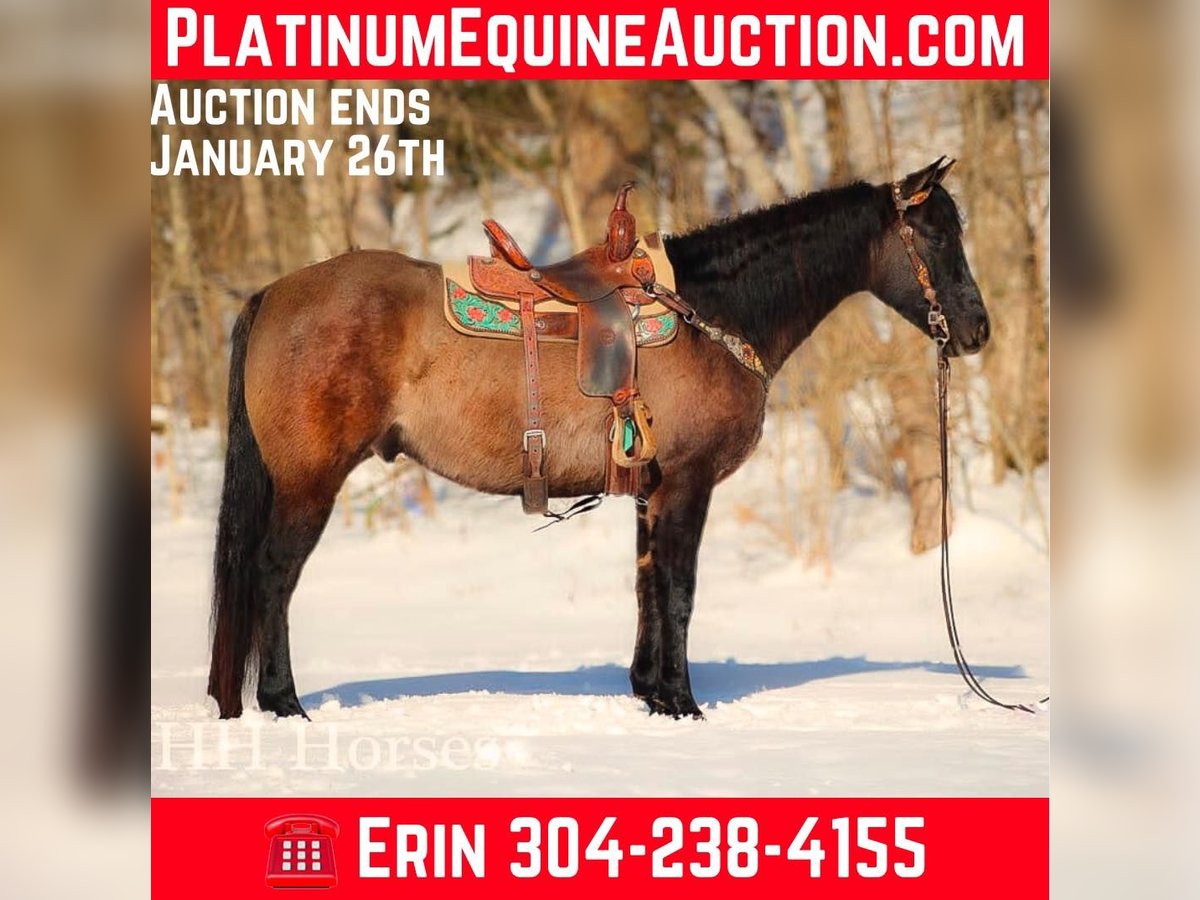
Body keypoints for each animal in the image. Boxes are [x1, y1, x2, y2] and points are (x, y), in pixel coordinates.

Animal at [207, 157, 989, 720]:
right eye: (937, 236)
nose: (978, 329)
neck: (714, 312)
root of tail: (273, 295)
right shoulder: (688, 482)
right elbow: (679, 588)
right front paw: (683, 703)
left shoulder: (651, 488)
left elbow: (647, 584)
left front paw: (650, 692)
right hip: (309, 482)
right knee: (274, 574)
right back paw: (282, 700)